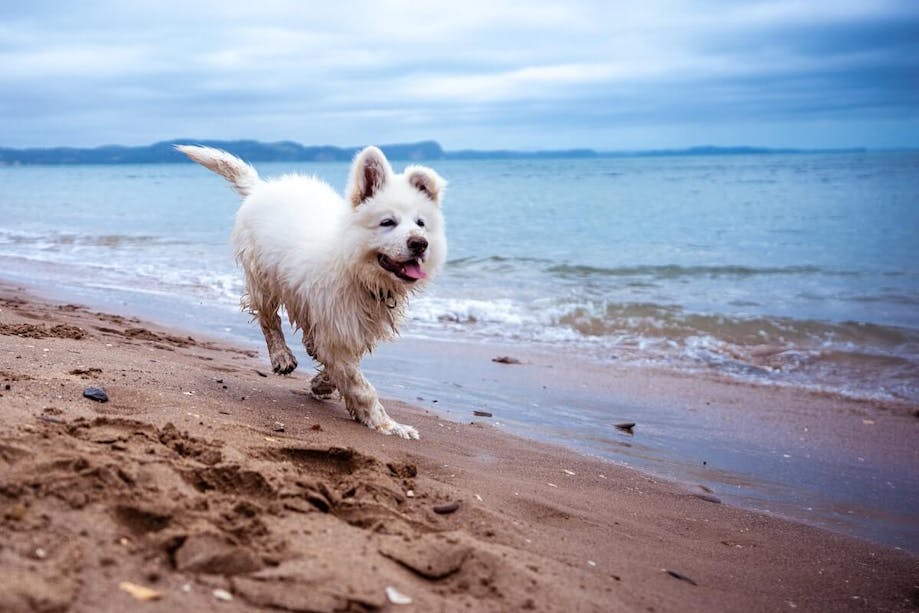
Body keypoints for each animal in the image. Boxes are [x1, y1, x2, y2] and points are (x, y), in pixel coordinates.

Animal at [178, 145, 448, 438]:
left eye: (421, 223)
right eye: (387, 222)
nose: (420, 244)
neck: (355, 267)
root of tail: (261, 187)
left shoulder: (350, 327)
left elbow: (341, 367)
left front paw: (322, 382)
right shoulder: (337, 327)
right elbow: (360, 385)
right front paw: (389, 425)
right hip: (262, 278)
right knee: (268, 319)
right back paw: (282, 355)